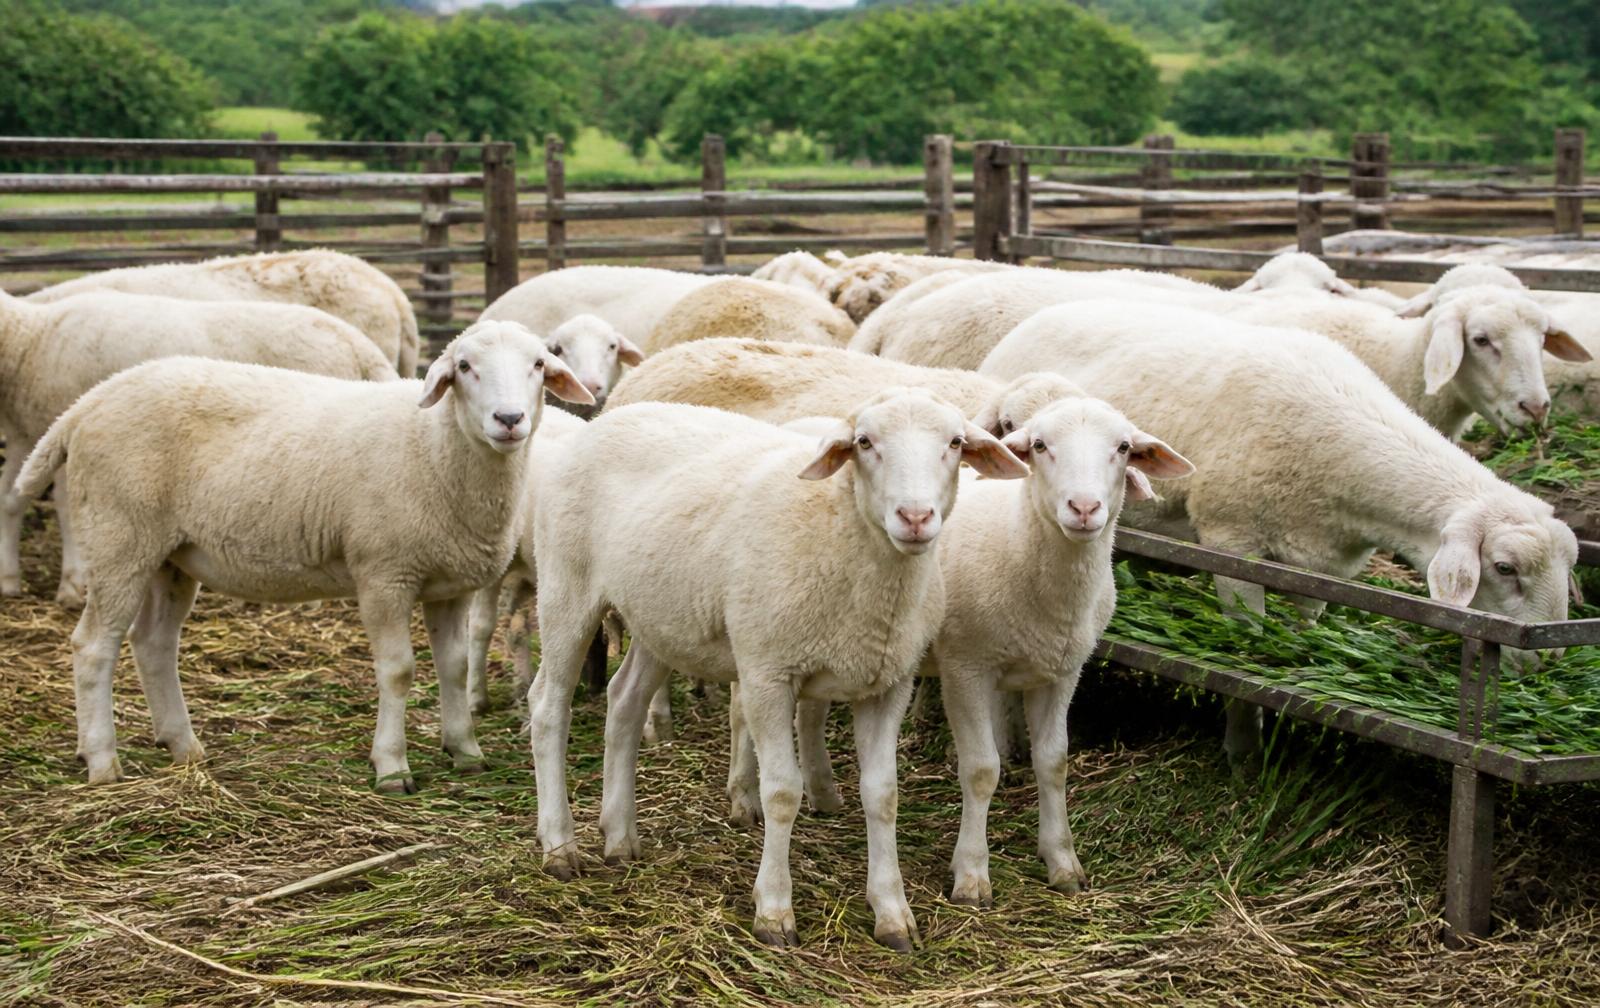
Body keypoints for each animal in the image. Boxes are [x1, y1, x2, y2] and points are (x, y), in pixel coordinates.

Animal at [0, 289, 399, 604]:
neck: (30, 338)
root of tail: (356, 342)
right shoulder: (25, 434)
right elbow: (11, 499)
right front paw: (10, 580)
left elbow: (63, 508)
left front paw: (70, 585)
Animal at [10, 321, 594, 791]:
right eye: (466, 367)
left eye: (538, 364)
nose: (509, 418)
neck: (435, 447)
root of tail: (86, 405)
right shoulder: (383, 572)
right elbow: (399, 671)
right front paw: (392, 766)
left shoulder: (446, 581)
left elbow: (451, 667)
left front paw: (465, 750)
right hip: (119, 536)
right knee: (94, 646)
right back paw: (103, 762)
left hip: (170, 555)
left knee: (154, 643)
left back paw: (184, 747)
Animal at [526, 389, 1027, 948]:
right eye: (864, 442)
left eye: (956, 443)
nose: (915, 517)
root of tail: (609, 417)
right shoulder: (768, 672)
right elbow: (783, 791)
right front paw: (773, 910)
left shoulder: (888, 682)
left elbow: (883, 795)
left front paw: (892, 912)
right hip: (567, 583)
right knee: (548, 707)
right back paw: (560, 846)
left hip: (660, 617)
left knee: (625, 702)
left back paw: (619, 836)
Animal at [766, 394, 1194, 904]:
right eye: (1039, 445)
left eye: (1124, 447)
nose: (1084, 507)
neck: (1017, 540)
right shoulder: (966, 667)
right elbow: (981, 769)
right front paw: (971, 873)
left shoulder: (1062, 671)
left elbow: (1054, 762)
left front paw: (1063, 861)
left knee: (810, 711)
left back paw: (824, 793)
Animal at [979, 300, 1580, 769]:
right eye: (1505, 568)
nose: (1548, 661)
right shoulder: (1232, 541)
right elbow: (1242, 657)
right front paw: (1243, 749)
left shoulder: (1319, 568)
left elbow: (1290, 644)